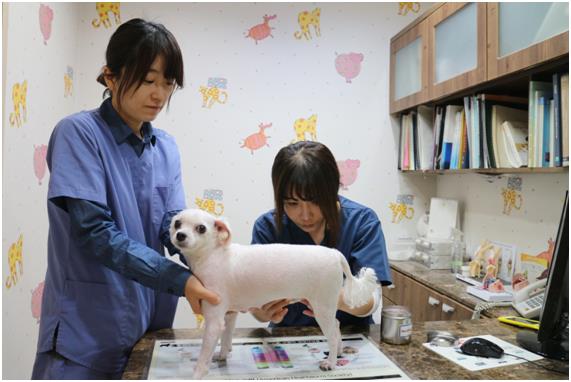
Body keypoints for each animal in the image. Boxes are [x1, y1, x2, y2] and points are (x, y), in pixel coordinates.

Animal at [171, 209, 380, 380]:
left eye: (201, 228)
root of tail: (335, 254)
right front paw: (222, 356)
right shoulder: (230, 315)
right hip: (320, 307)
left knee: (333, 334)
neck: (213, 255)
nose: (180, 235)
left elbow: (204, 354)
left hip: (322, 308)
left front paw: (198, 374)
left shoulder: (214, 321)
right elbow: (226, 340)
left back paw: (331, 363)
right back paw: (338, 352)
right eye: (177, 223)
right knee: (336, 327)